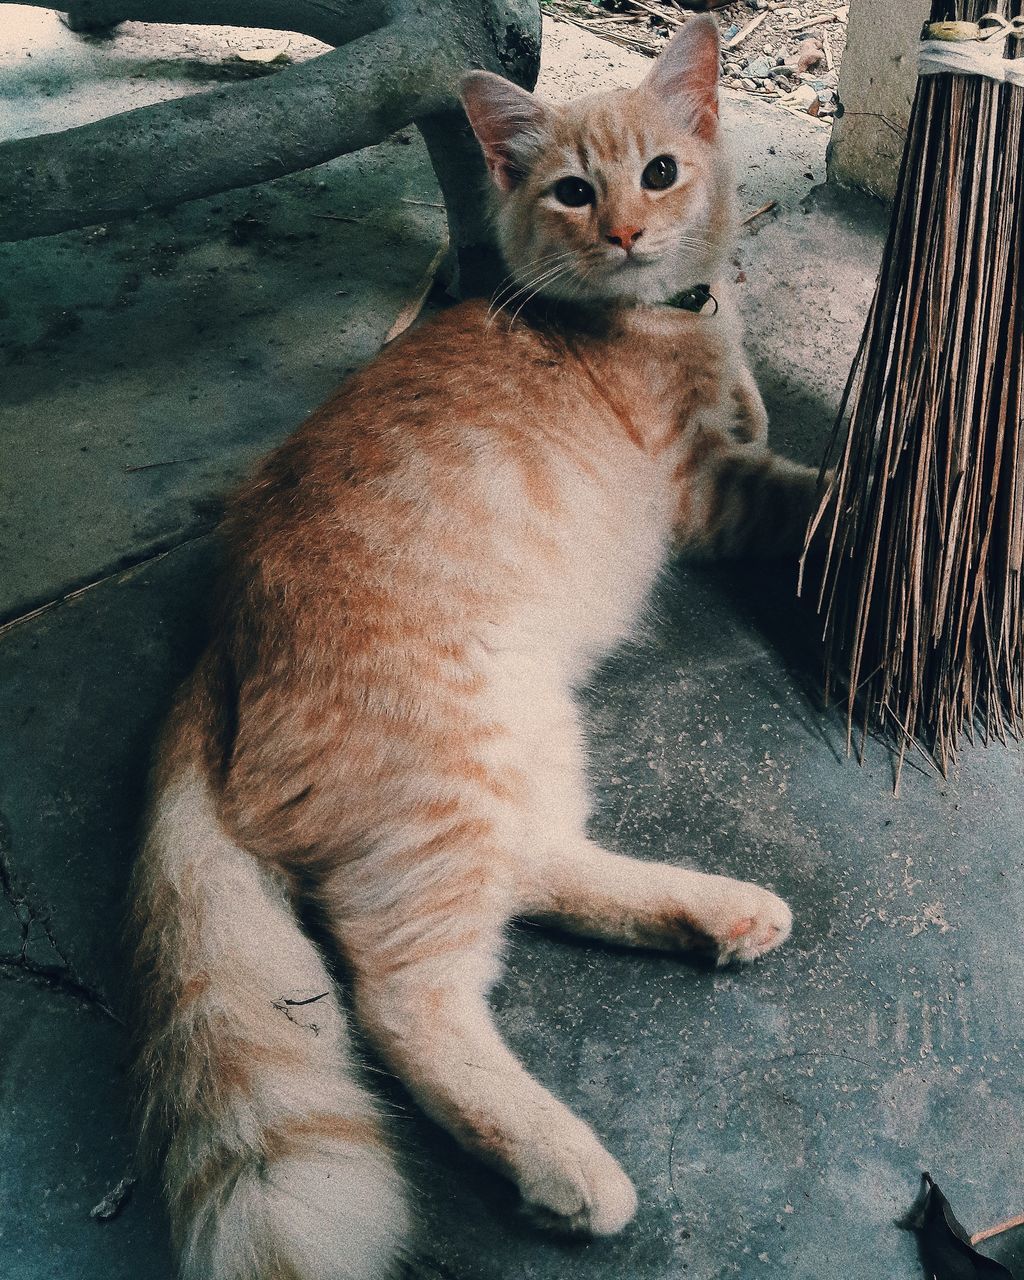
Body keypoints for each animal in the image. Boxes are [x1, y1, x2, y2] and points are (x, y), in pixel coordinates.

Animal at [131, 17, 824, 1280]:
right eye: (571, 192)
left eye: (660, 173)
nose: (625, 232)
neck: (661, 318)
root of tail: (220, 644)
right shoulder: (710, 489)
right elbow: (803, 488)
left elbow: (768, 421)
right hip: (452, 777)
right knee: (407, 994)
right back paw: (566, 1166)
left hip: (525, 736)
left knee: (538, 865)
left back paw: (717, 913)